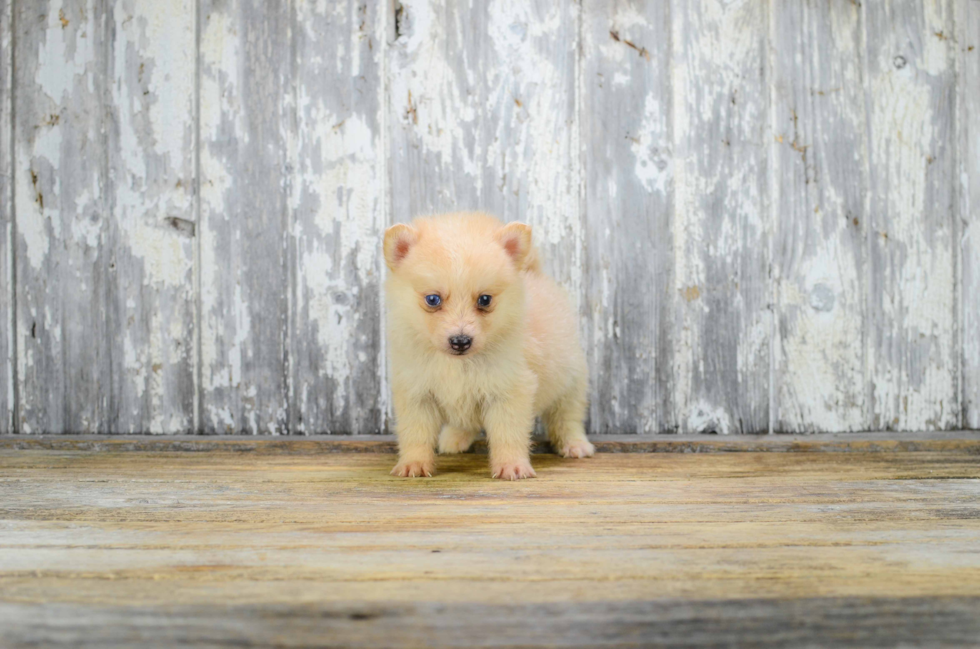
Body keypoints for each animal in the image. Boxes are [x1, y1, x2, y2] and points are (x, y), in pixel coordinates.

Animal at [384, 210, 596, 478]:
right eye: (432, 299)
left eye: (484, 300)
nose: (460, 341)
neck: (457, 364)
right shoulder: (416, 394)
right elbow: (415, 434)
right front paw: (414, 464)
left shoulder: (509, 392)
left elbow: (508, 434)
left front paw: (512, 466)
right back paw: (454, 439)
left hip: (571, 382)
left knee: (567, 417)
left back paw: (575, 445)